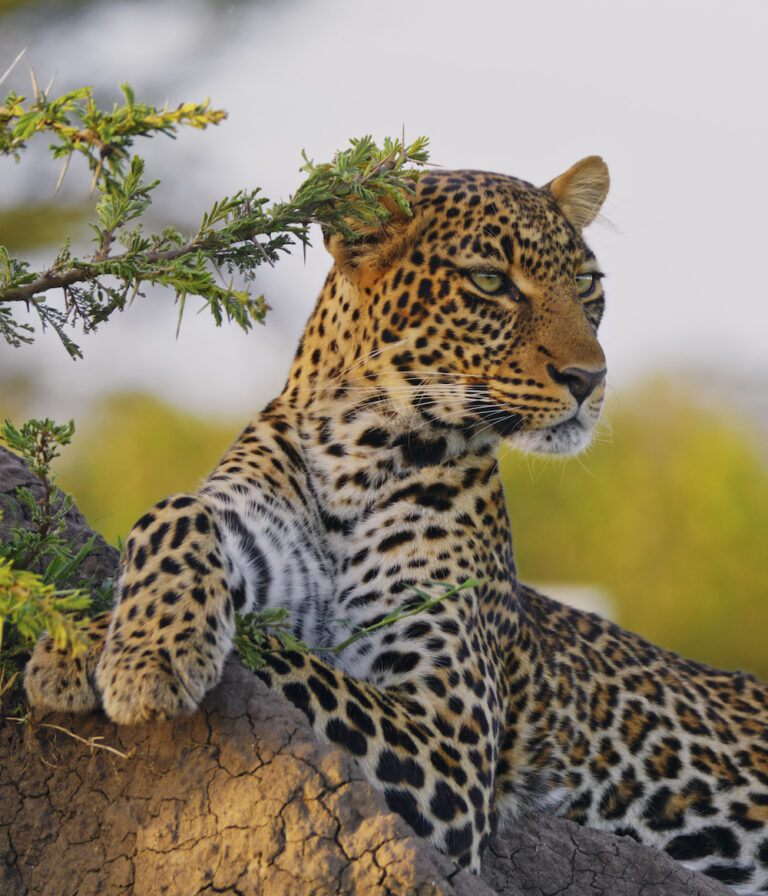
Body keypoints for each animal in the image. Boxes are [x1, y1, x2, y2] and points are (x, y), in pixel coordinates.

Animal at [25, 157, 768, 892]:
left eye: (586, 284)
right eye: (491, 282)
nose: (591, 378)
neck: (357, 454)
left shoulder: (450, 746)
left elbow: (276, 644)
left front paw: (136, 664)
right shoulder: (244, 527)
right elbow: (174, 513)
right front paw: (99, 644)